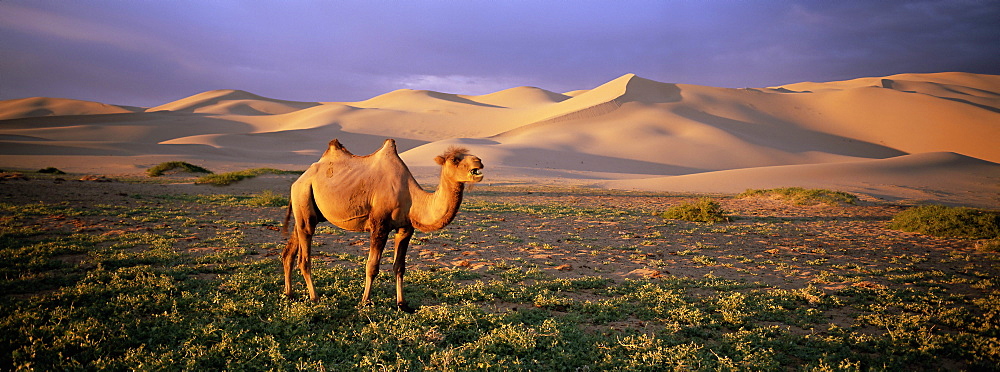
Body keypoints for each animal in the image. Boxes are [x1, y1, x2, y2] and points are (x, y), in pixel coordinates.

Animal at [282, 138, 484, 312]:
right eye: (455, 159)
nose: (479, 161)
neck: (412, 198)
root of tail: (298, 180)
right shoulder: (379, 225)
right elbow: (372, 266)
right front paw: (365, 301)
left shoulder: (405, 228)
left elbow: (400, 267)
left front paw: (402, 304)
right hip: (304, 197)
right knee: (304, 257)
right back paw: (314, 297)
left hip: (305, 209)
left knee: (288, 252)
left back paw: (289, 294)